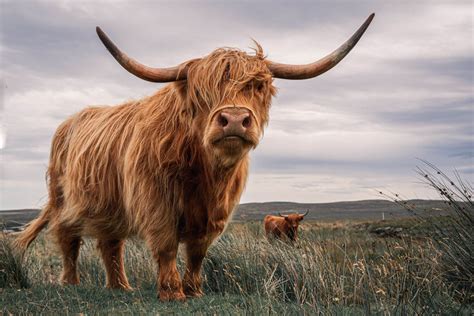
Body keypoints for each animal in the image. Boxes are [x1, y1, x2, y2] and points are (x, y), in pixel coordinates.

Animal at [14, 14, 374, 302]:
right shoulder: (155, 202)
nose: (233, 119)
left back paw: (120, 287)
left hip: (109, 205)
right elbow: (166, 245)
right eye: (202, 93)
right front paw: (172, 293)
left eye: (258, 86)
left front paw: (195, 290)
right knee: (68, 239)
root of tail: (69, 122)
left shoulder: (214, 214)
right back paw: (70, 283)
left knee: (110, 244)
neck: (204, 173)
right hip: (64, 199)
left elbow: (198, 252)